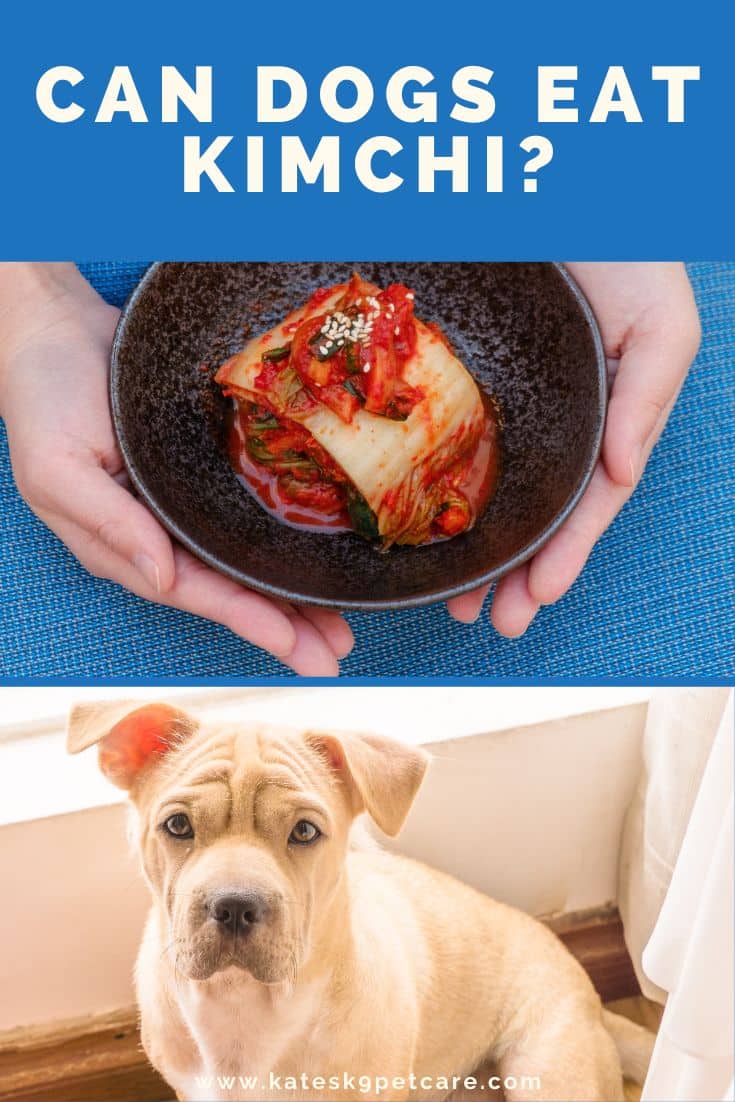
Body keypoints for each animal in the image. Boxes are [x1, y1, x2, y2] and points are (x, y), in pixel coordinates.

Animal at [68, 705, 656, 1102]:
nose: (233, 905)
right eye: (177, 826)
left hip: (544, 1070)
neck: (246, 1009)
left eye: (305, 831)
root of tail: (595, 1006)